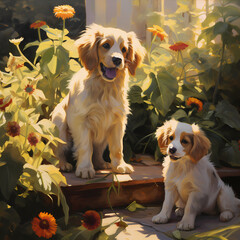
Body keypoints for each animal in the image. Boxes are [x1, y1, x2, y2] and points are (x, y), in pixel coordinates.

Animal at [51, 23, 145, 178]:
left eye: (124, 49)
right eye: (106, 45)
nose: (117, 60)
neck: (105, 87)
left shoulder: (118, 121)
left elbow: (117, 147)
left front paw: (119, 165)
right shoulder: (81, 120)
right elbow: (85, 147)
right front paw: (85, 168)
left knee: (98, 152)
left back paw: (102, 164)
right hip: (60, 125)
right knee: (58, 151)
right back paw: (63, 164)